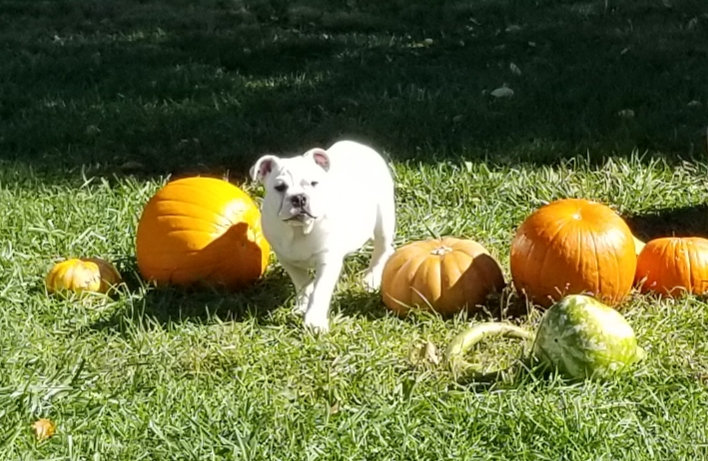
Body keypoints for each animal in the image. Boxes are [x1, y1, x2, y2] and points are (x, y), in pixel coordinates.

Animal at [250, 140, 396, 330]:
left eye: (314, 183)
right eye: (280, 187)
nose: (299, 198)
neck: (299, 230)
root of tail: (359, 145)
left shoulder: (327, 261)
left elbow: (319, 291)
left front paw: (314, 321)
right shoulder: (287, 259)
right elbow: (302, 282)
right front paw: (302, 305)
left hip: (383, 221)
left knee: (381, 250)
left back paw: (370, 280)